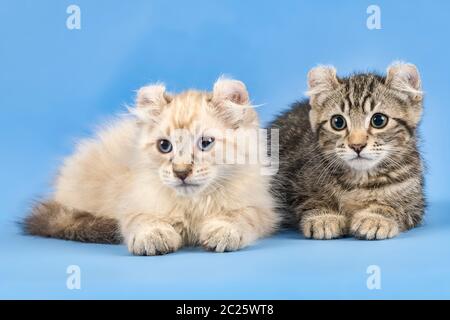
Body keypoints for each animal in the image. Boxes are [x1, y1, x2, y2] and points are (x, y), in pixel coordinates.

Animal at [24, 79, 280, 256]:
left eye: (205, 143)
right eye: (164, 146)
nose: (181, 172)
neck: (193, 205)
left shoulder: (259, 208)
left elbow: (239, 217)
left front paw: (223, 231)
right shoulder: (134, 204)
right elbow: (143, 221)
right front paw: (154, 237)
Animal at [270, 62, 426, 239]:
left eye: (379, 120)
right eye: (338, 122)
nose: (357, 145)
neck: (360, 179)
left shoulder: (415, 203)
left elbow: (397, 207)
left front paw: (376, 217)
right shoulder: (293, 187)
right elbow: (309, 200)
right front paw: (324, 217)